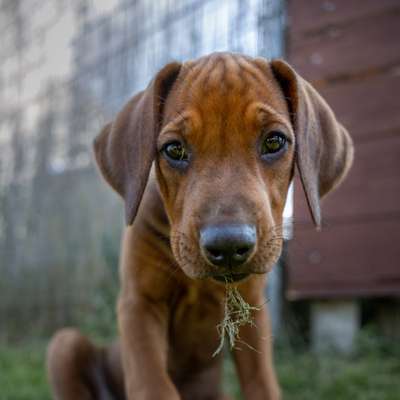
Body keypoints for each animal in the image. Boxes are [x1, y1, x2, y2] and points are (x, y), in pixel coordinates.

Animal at [47, 53, 354, 400]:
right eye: (174, 149)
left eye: (274, 141)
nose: (228, 246)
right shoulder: (139, 303)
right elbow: (153, 384)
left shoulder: (253, 313)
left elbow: (262, 382)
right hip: (64, 345)